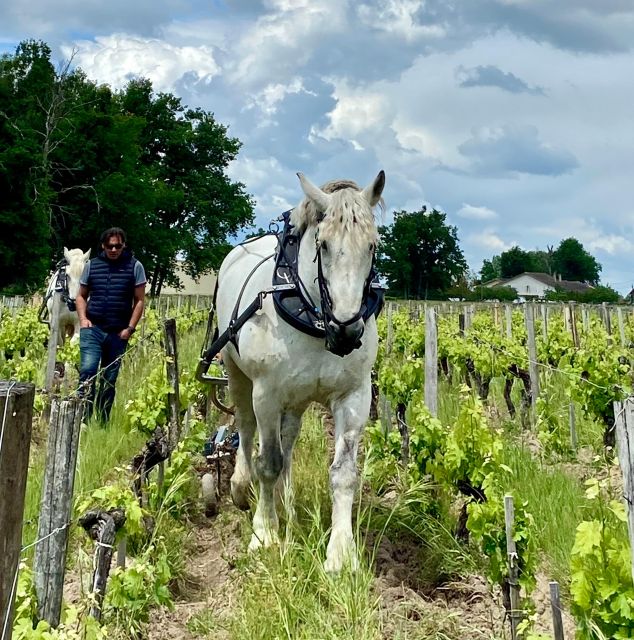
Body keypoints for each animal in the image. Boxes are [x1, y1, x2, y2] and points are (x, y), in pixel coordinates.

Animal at [216, 170, 386, 568]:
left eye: (372, 246)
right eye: (322, 245)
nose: (347, 330)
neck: (317, 319)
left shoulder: (354, 395)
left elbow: (343, 473)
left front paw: (341, 553)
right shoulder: (267, 392)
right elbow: (268, 461)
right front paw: (264, 534)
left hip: (296, 398)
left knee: (288, 440)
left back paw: (288, 502)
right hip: (236, 373)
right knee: (246, 429)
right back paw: (242, 485)